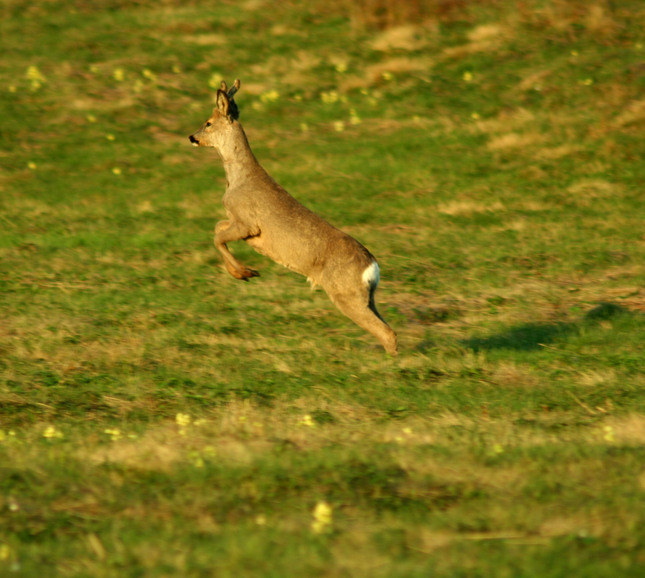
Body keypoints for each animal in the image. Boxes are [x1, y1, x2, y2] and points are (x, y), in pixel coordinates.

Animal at [187, 79, 398, 354]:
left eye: (209, 122)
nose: (192, 137)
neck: (239, 179)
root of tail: (372, 267)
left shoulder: (249, 224)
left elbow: (217, 237)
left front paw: (245, 273)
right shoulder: (236, 222)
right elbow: (216, 228)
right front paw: (242, 272)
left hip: (346, 294)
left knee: (387, 332)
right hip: (366, 296)